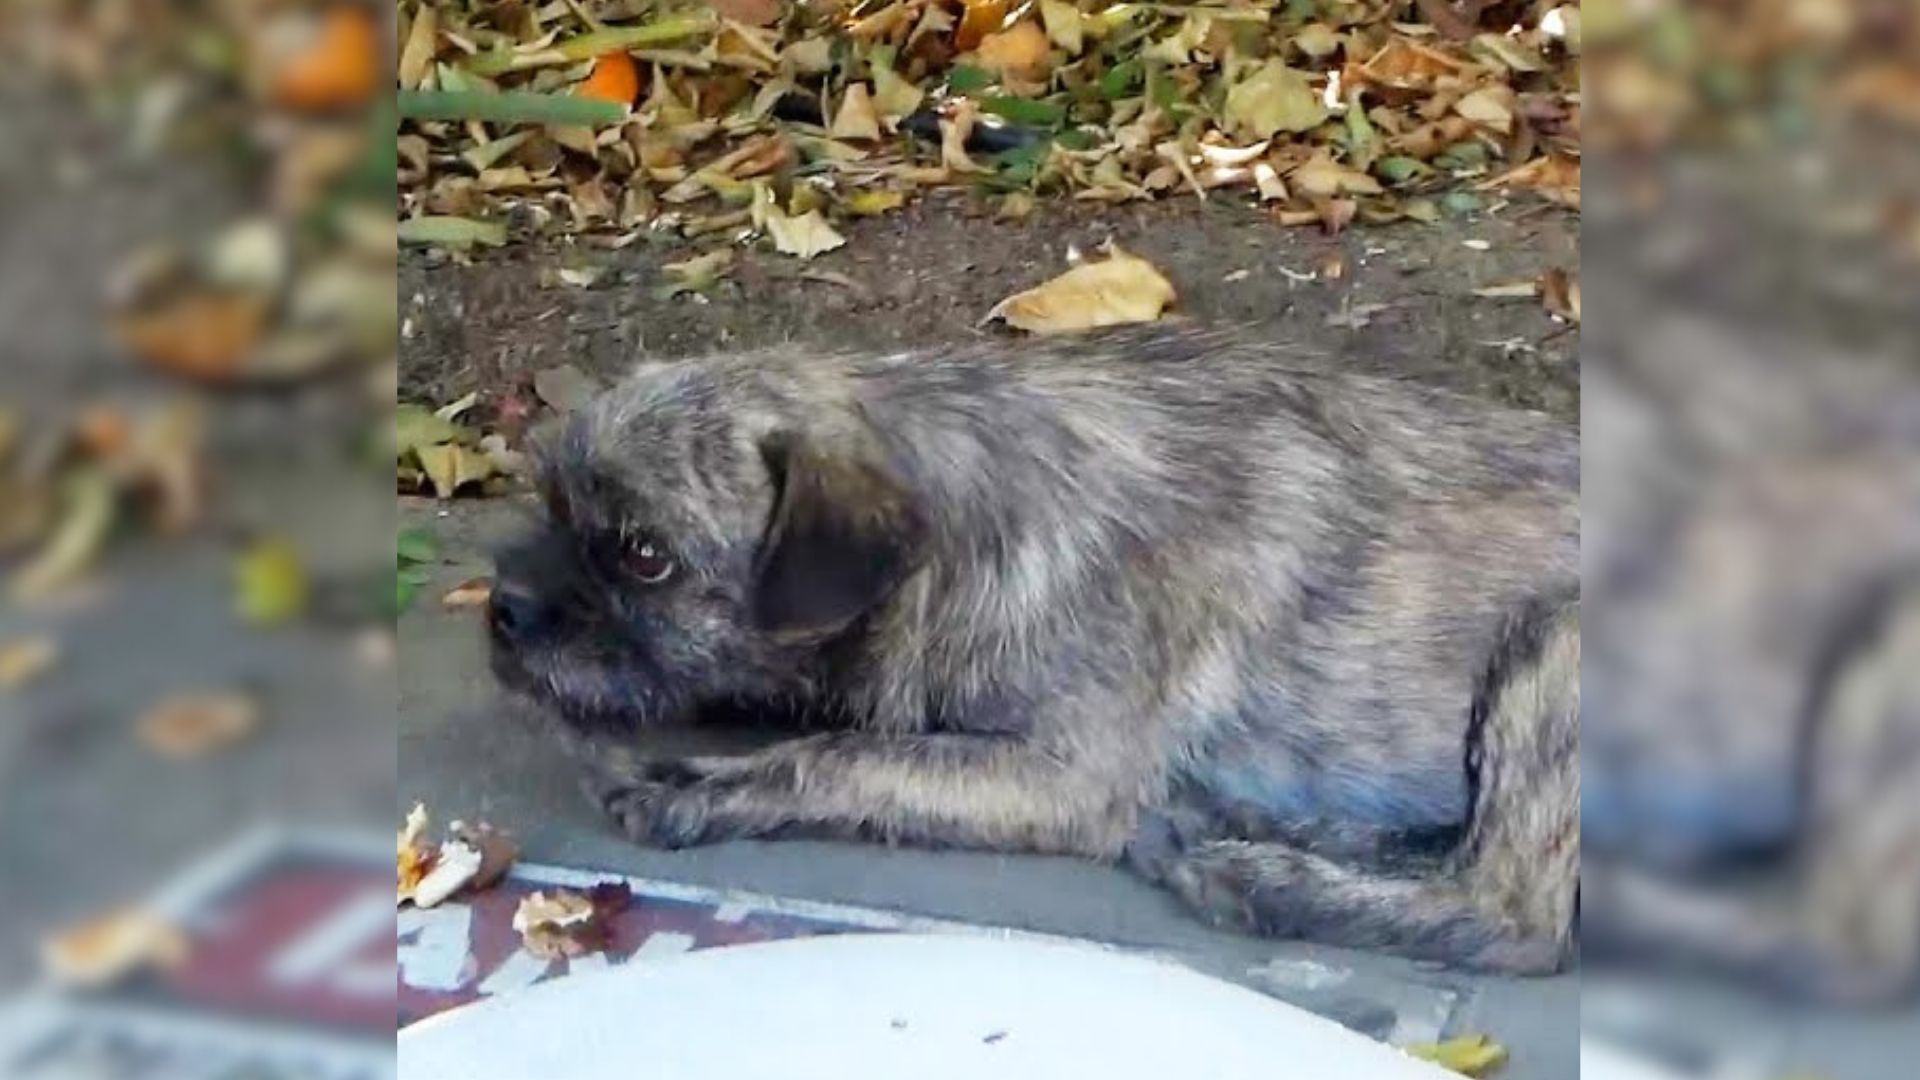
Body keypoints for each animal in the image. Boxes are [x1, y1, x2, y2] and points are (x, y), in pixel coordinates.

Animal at [487, 326, 1582, 968]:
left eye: (645, 557)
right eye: (548, 507)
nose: (503, 608)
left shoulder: (1058, 773)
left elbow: (845, 756)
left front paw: (694, 784)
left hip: (1553, 648)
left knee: (1517, 914)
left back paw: (1266, 882)